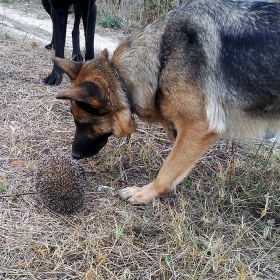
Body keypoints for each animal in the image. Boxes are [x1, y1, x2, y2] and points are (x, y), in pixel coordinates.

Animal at [53, 0, 280, 203]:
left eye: (82, 122)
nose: (73, 155)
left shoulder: (198, 128)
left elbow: (167, 170)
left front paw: (144, 194)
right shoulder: (181, 129)